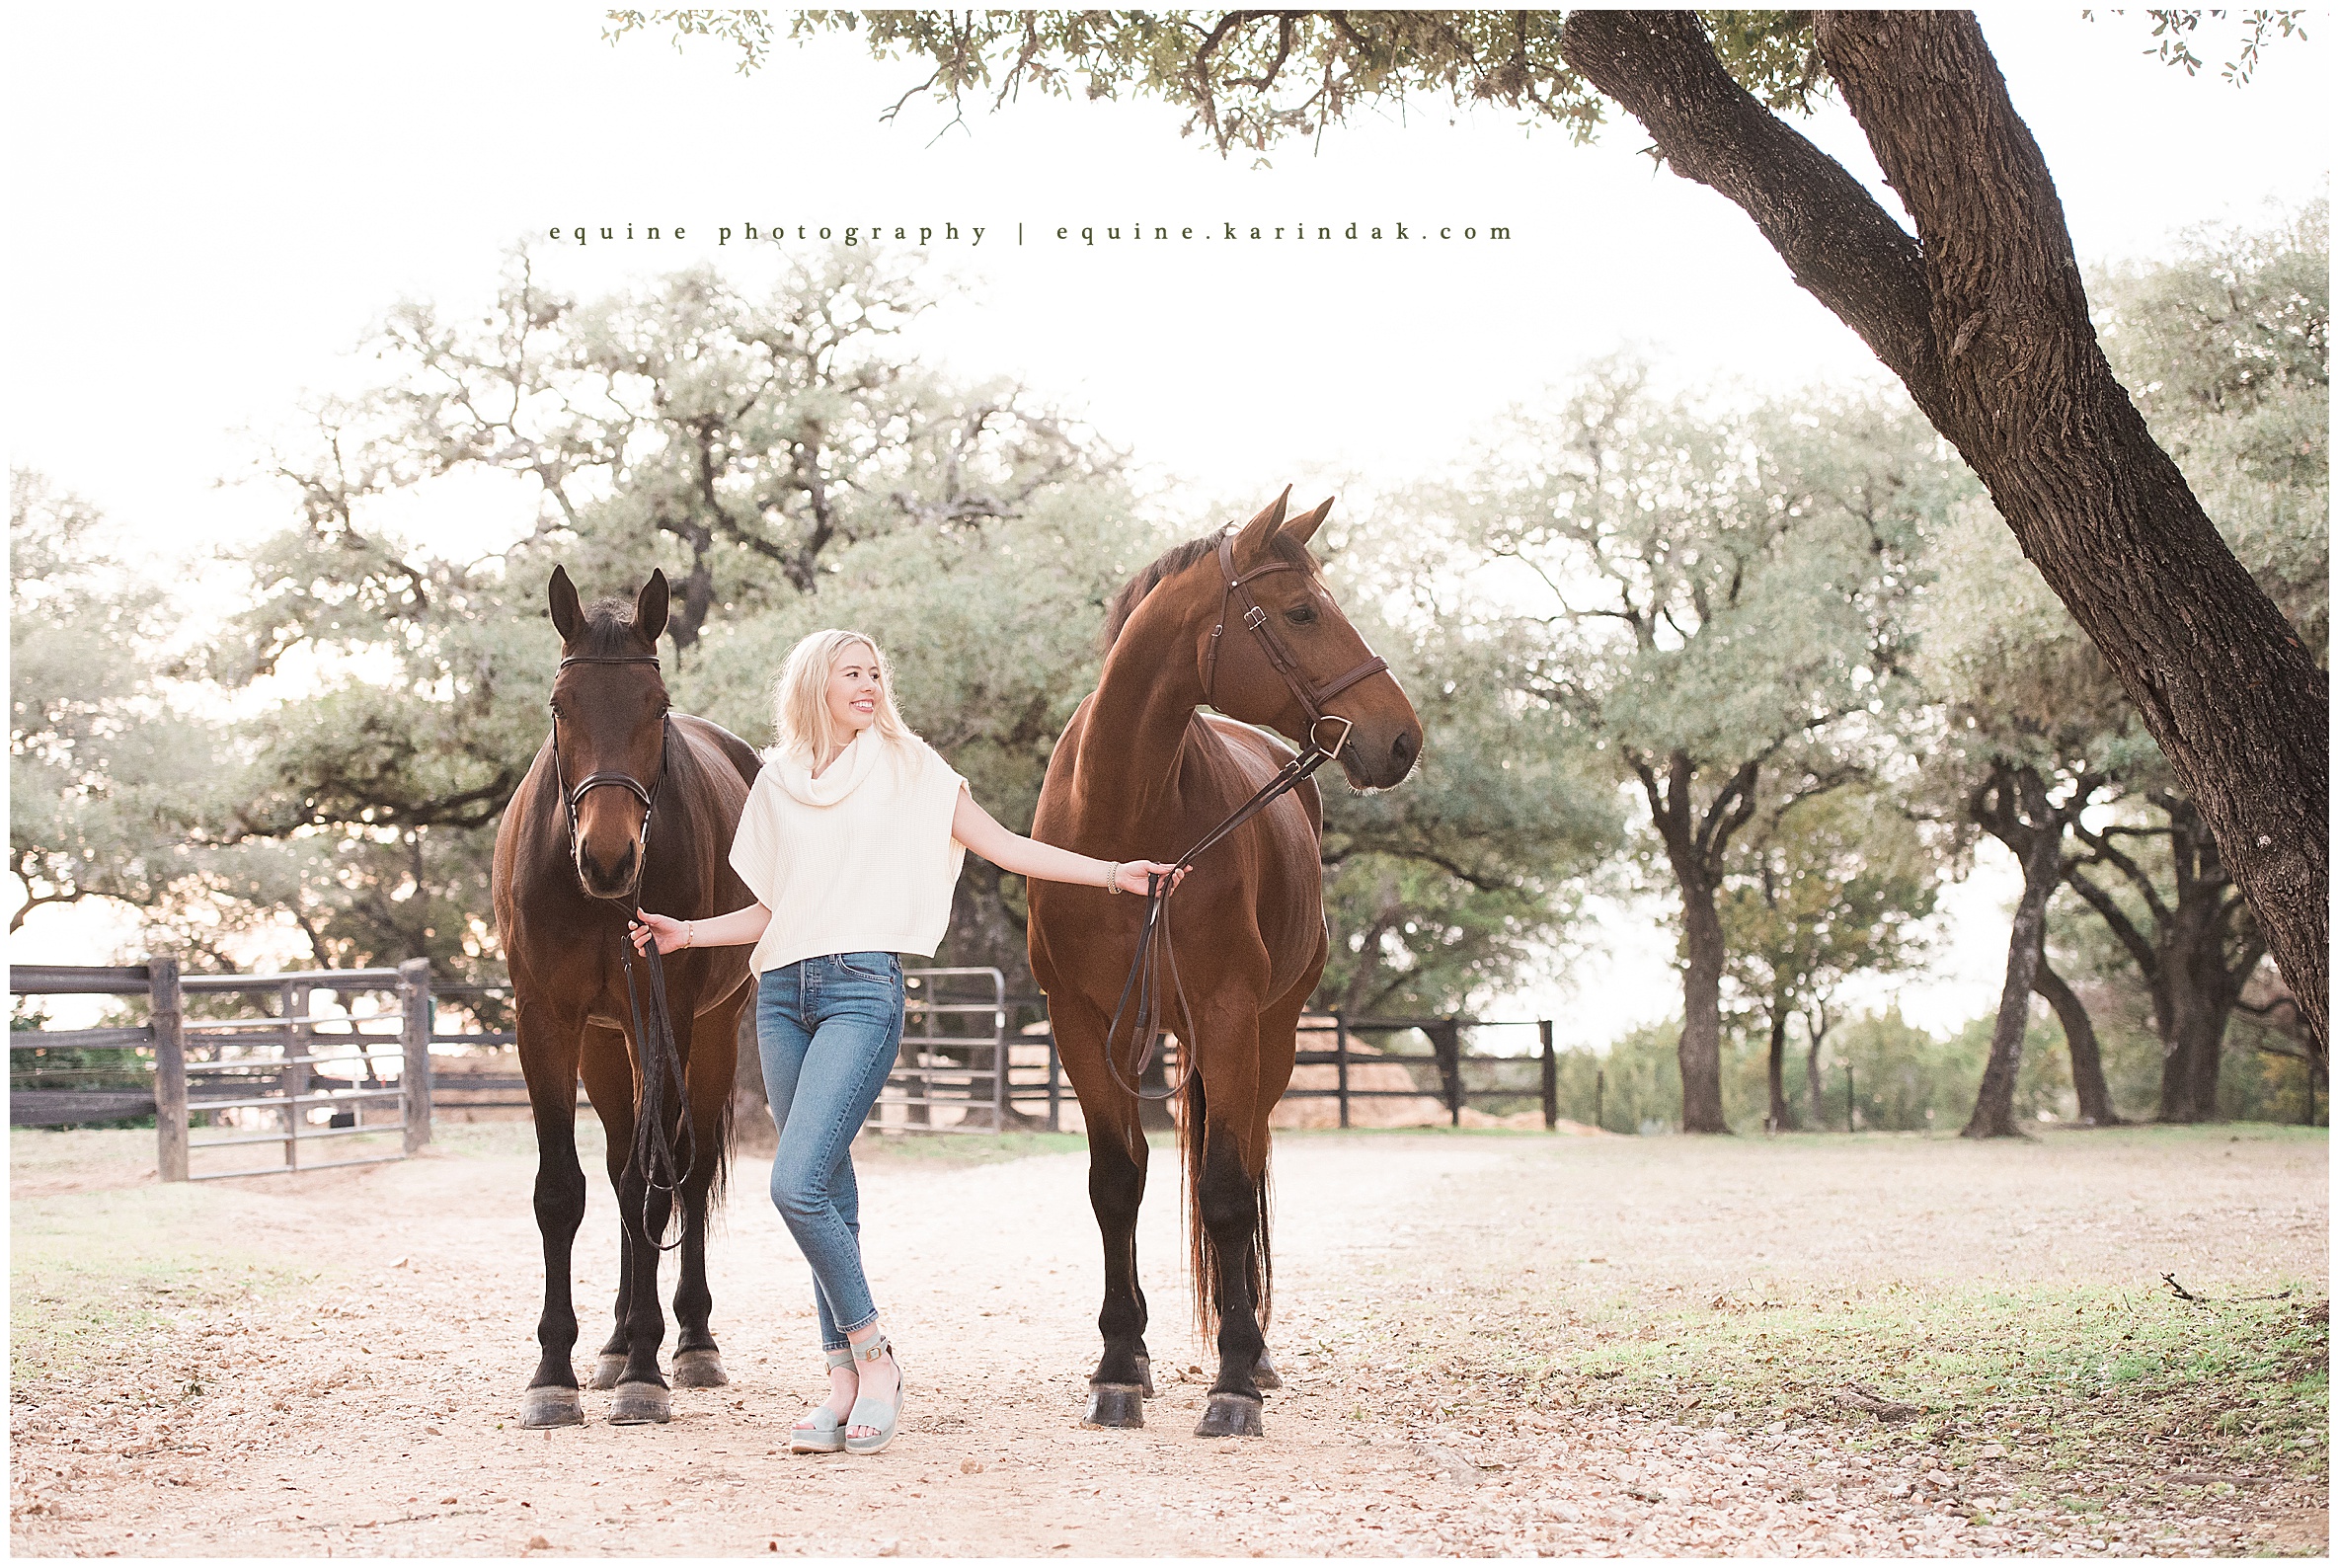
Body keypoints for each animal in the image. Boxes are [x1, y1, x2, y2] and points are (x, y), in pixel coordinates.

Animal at [491, 566, 762, 1428]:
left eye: (657, 707)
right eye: (560, 706)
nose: (607, 859)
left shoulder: (664, 1018)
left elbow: (658, 1184)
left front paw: (648, 1371)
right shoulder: (546, 1025)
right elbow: (562, 1192)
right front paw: (554, 1372)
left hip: (707, 1034)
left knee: (685, 1170)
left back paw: (689, 1343)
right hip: (604, 1045)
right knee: (616, 1172)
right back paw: (611, 1345)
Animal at [1027, 489, 1423, 1438]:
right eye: (1303, 611)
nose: (1402, 740)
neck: (1123, 815)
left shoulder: (1228, 1014)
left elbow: (1228, 1192)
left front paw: (1235, 1379)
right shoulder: (1080, 1022)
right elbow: (1114, 1184)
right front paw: (1119, 1365)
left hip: (1267, 1036)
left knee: (1248, 1160)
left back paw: (1257, 1353)